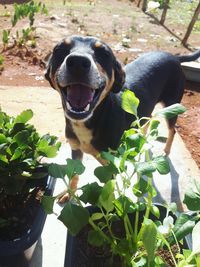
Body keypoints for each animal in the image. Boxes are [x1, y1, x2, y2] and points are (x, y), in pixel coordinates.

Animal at [45, 35, 200, 197]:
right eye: (59, 49)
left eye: (104, 54)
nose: (77, 63)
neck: (91, 120)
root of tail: (174, 56)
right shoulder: (76, 151)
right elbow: (74, 174)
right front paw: (70, 193)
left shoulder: (111, 165)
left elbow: (108, 192)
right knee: (147, 121)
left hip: (172, 106)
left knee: (172, 130)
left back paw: (166, 150)